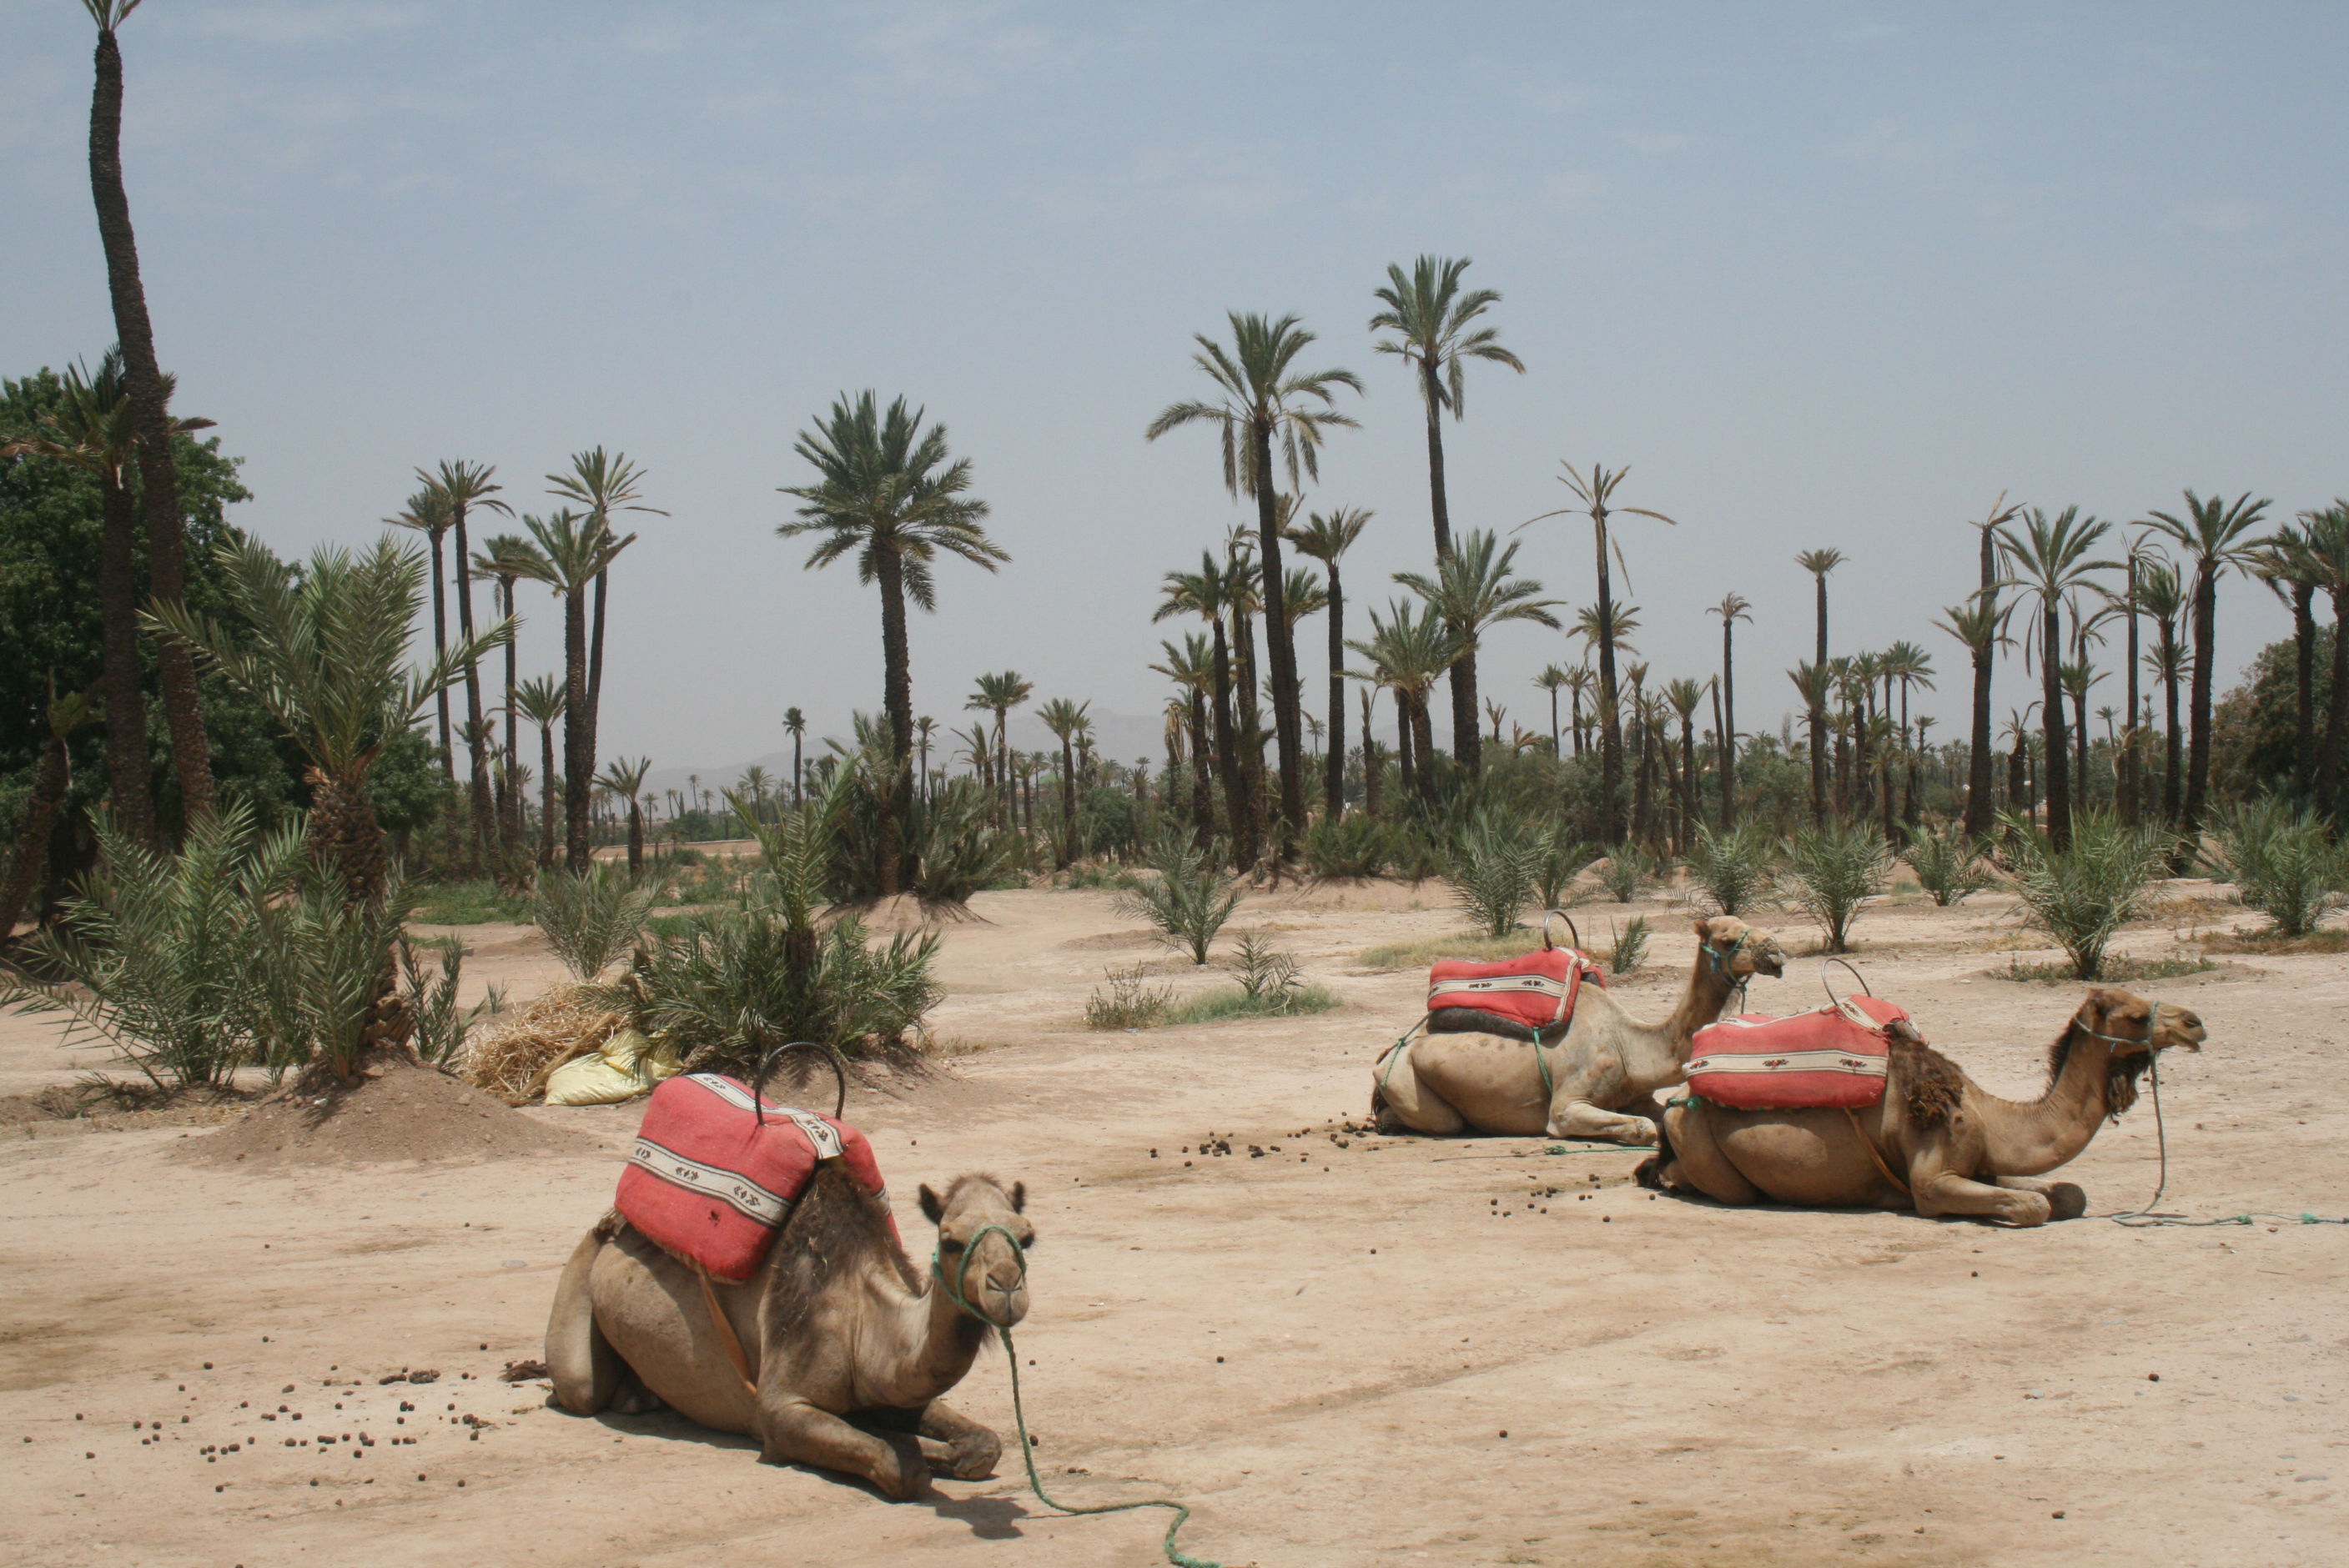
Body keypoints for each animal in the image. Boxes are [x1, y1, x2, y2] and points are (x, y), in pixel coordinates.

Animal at [1371, 910, 1785, 1145]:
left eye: (1754, 926)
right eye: (1727, 939)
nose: (1776, 953)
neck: (1631, 1046)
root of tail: (1388, 1054)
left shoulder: (1637, 1095)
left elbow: (1659, 1115)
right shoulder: (1567, 1106)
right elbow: (1642, 1127)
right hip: (1407, 1079)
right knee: (1442, 1121)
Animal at [1644, 990, 2208, 1220]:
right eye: (2134, 1015)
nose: (2195, 1023)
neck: (1989, 1114)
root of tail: (1682, 1096)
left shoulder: (1983, 1162)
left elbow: (2068, 1194)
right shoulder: (1933, 1179)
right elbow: (2033, 1206)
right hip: (1700, 1143)